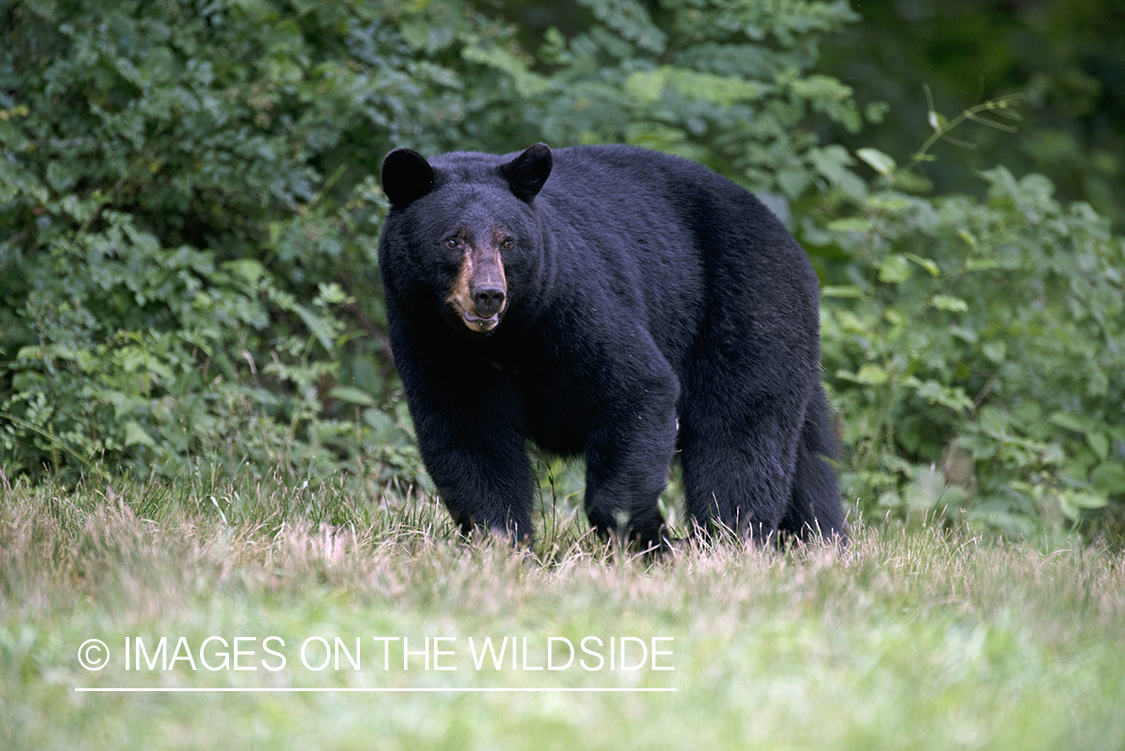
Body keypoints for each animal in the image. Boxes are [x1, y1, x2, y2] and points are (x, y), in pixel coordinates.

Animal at [378, 143, 846, 548]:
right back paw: (819, 538)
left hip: (747, 305)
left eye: (507, 240)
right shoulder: (434, 341)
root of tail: (781, 230)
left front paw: (645, 537)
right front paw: (499, 543)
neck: (505, 337)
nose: (489, 294)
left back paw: (732, 537)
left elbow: (636, 388)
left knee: (740, 429)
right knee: (807, 457)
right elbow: (471, 435)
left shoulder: (573, 303)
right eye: (452, 239)